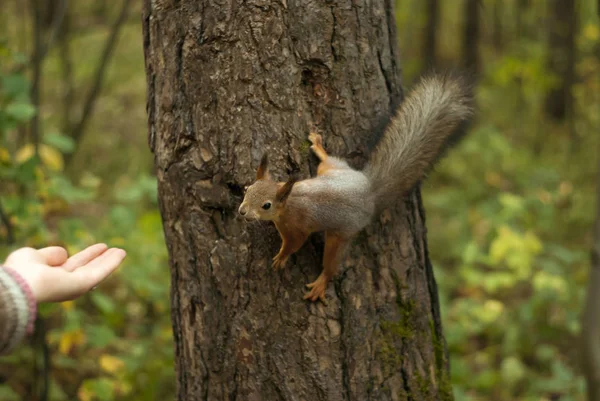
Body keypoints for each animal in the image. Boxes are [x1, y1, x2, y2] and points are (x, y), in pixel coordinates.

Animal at [238, 72, 474, 304]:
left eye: (266, 205)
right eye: (247, 189)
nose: (242, 211)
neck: (288, 202)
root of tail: (369, 193)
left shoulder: (297, 228)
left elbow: (295, 244)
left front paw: (282, 256)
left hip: (341, 235)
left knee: (332, 263)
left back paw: (322, 282)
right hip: (334, 171)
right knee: (328, 161)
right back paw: (318, 147)